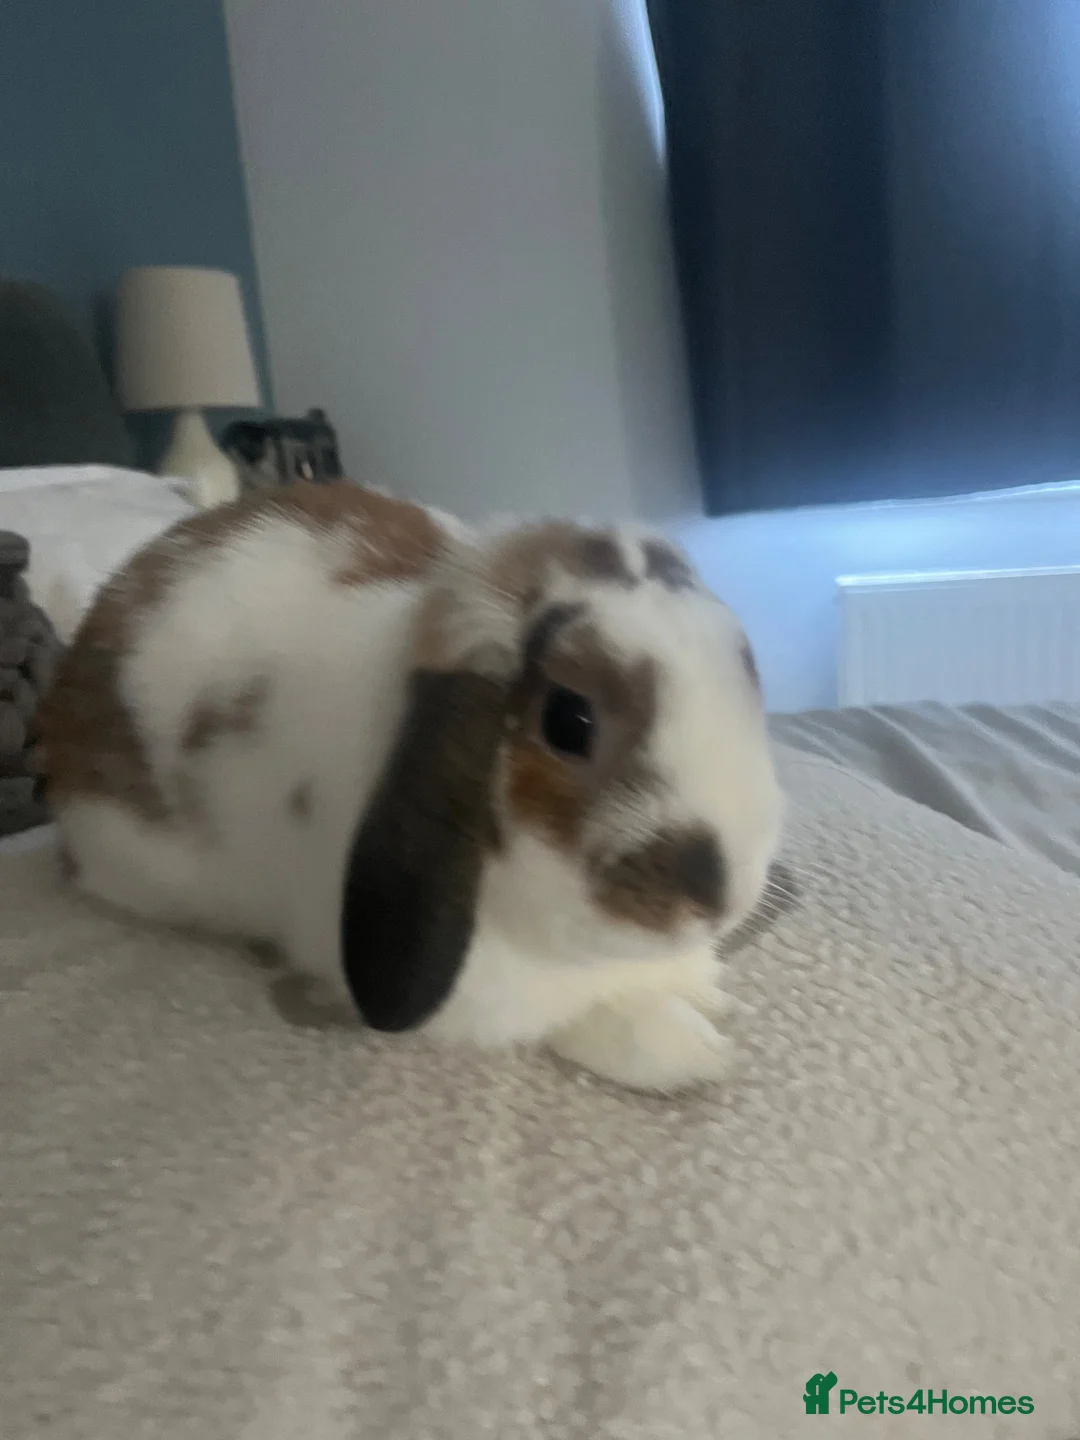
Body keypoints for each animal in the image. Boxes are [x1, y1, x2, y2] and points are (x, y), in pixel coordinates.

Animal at [38, 483, 783, 1092]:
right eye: (569, 721)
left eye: (744, 664)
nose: (720, 896)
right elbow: (575, 1021)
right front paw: (693, 1053)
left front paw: (706, 991)